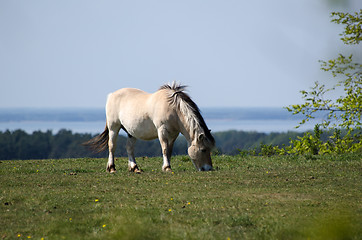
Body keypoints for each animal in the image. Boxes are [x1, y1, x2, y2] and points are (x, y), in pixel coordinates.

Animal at [84, 82, 215, 172]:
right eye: (203, 149)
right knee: (112, 146)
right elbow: (164, 149)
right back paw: (111, 168)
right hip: (113, 128)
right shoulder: (162, 131)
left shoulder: (173, 135)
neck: (173, 109)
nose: (208, 168)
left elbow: (169, 150)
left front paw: (166, 166)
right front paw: (167, 168)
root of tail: (111, 95)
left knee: (129, 148)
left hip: (131, 132)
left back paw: (134, 168)